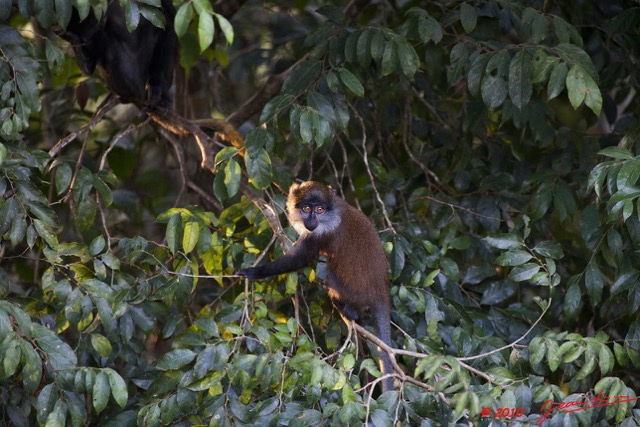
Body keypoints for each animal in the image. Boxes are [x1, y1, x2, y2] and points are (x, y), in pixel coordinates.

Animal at [238, 181, 392, 392]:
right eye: (306, 209)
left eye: (319, 210)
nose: (311, 220)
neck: (332, 214)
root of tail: (381, 292)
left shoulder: (319, 235)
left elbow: (299, 259)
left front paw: (256, 272)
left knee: (332, 272)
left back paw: (346, 309)